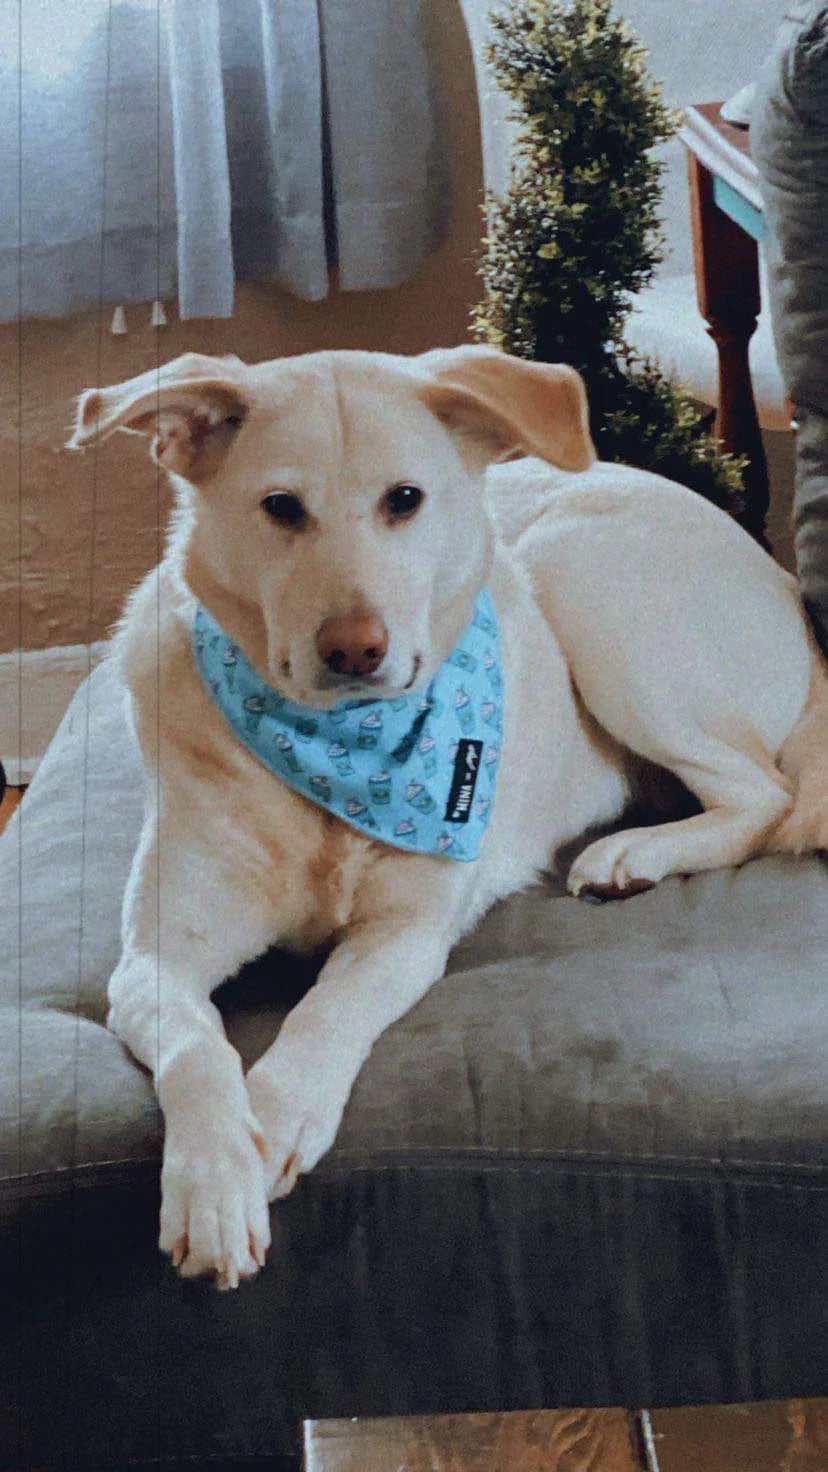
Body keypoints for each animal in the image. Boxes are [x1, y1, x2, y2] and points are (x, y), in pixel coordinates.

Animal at [70, 344, 825, 1289]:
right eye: (281, 508)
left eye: (405, 499)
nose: (355, 649)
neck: (340, 751)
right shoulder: (154, 960)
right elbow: (196, 1049)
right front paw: (213, 1185)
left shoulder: (406, 935)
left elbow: (329, 1006)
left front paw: (277, 1114)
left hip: (580, 575)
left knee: (764, 796)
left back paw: (633, 854)